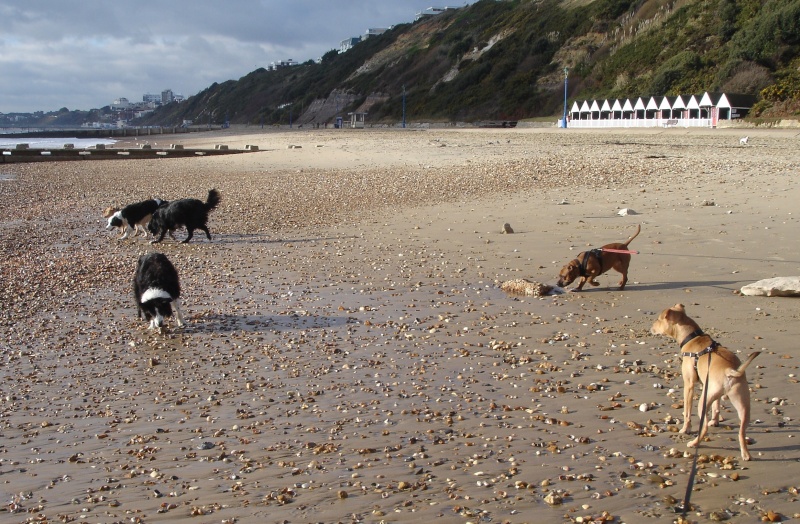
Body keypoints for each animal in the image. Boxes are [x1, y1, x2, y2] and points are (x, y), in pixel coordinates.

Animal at [652, 302, 760, 458]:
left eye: (658, 319)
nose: (651, 327)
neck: (692, 338)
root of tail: (729, 371)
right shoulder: (707, 386)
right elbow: (716, 406)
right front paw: (715, 421)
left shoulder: (689, 385)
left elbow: (687, 412)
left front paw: (685, 429)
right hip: (742, 403)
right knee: (741, 432)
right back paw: (745, 454)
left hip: (703, 402)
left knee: (703, 429)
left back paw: (694, 443)